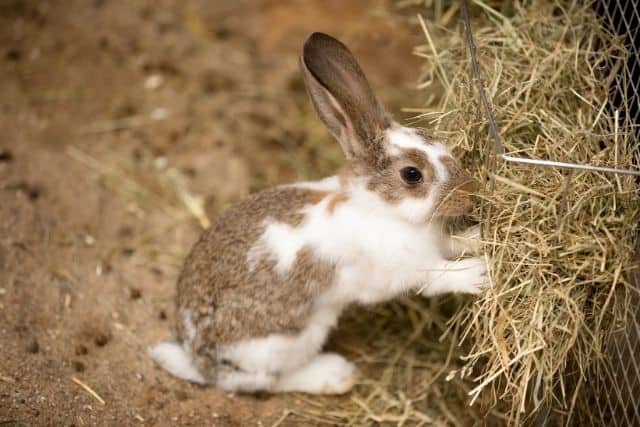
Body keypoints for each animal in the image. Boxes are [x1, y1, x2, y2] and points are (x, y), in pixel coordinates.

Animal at [150, 31, 488, 396]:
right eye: (412, 174)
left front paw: (480, 239)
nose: (472, 193)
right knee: (264, 380)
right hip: (288, 341)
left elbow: (453, 243)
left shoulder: (435, 241)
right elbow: (438, 277)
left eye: (437, 141)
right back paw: (335, 375)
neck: (381, 208)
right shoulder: (403, 269)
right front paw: (479, 272)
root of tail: (198, 359)